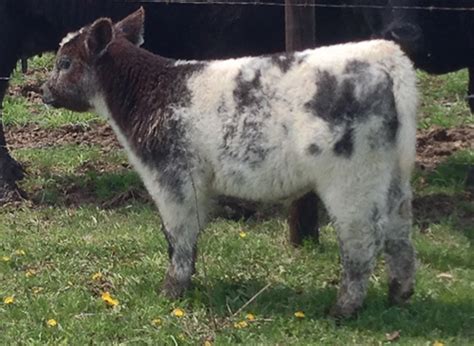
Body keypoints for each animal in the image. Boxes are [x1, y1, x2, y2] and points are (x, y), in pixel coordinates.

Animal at [41, 8, 418, 318]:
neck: (151, 93)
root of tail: (383, 55)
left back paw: (344, 308)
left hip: (351, 180)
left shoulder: (173, 179)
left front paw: (172, 289)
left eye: (65, 62)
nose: (44, 92)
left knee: (362, 239)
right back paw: (398, 295)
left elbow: (178, 236)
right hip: (393, 175)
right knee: (400, 232)